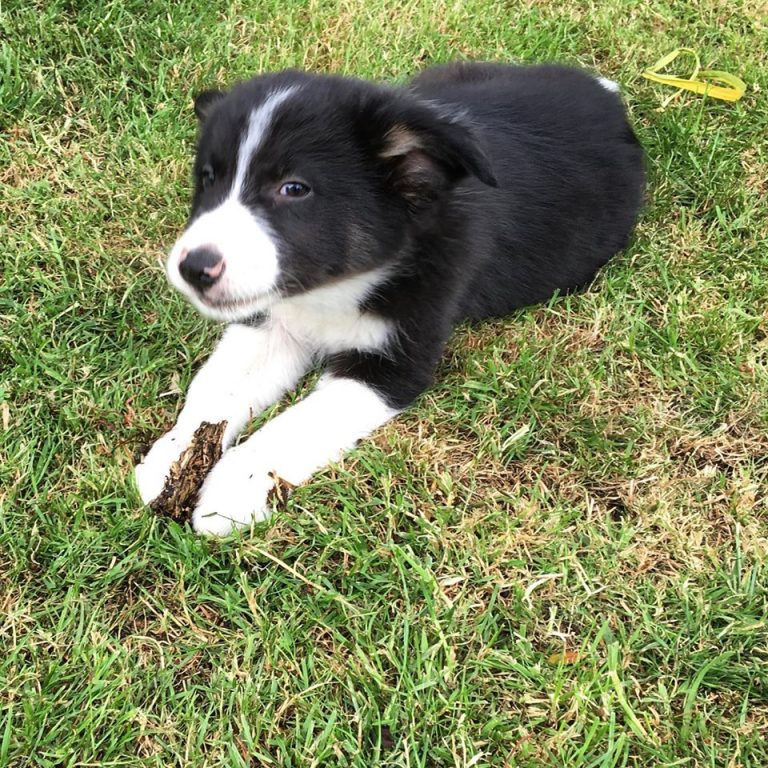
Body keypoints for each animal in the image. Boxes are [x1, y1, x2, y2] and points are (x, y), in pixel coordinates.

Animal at [135, 63, 644, 536]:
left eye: (294, 189)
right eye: (208, 179)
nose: (194, 268)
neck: (336, 286)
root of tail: (605, 96)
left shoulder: (396, 359)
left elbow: (300, 422)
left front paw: (231, 489)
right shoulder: (272, 322)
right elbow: (215, 388)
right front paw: (171, 460)